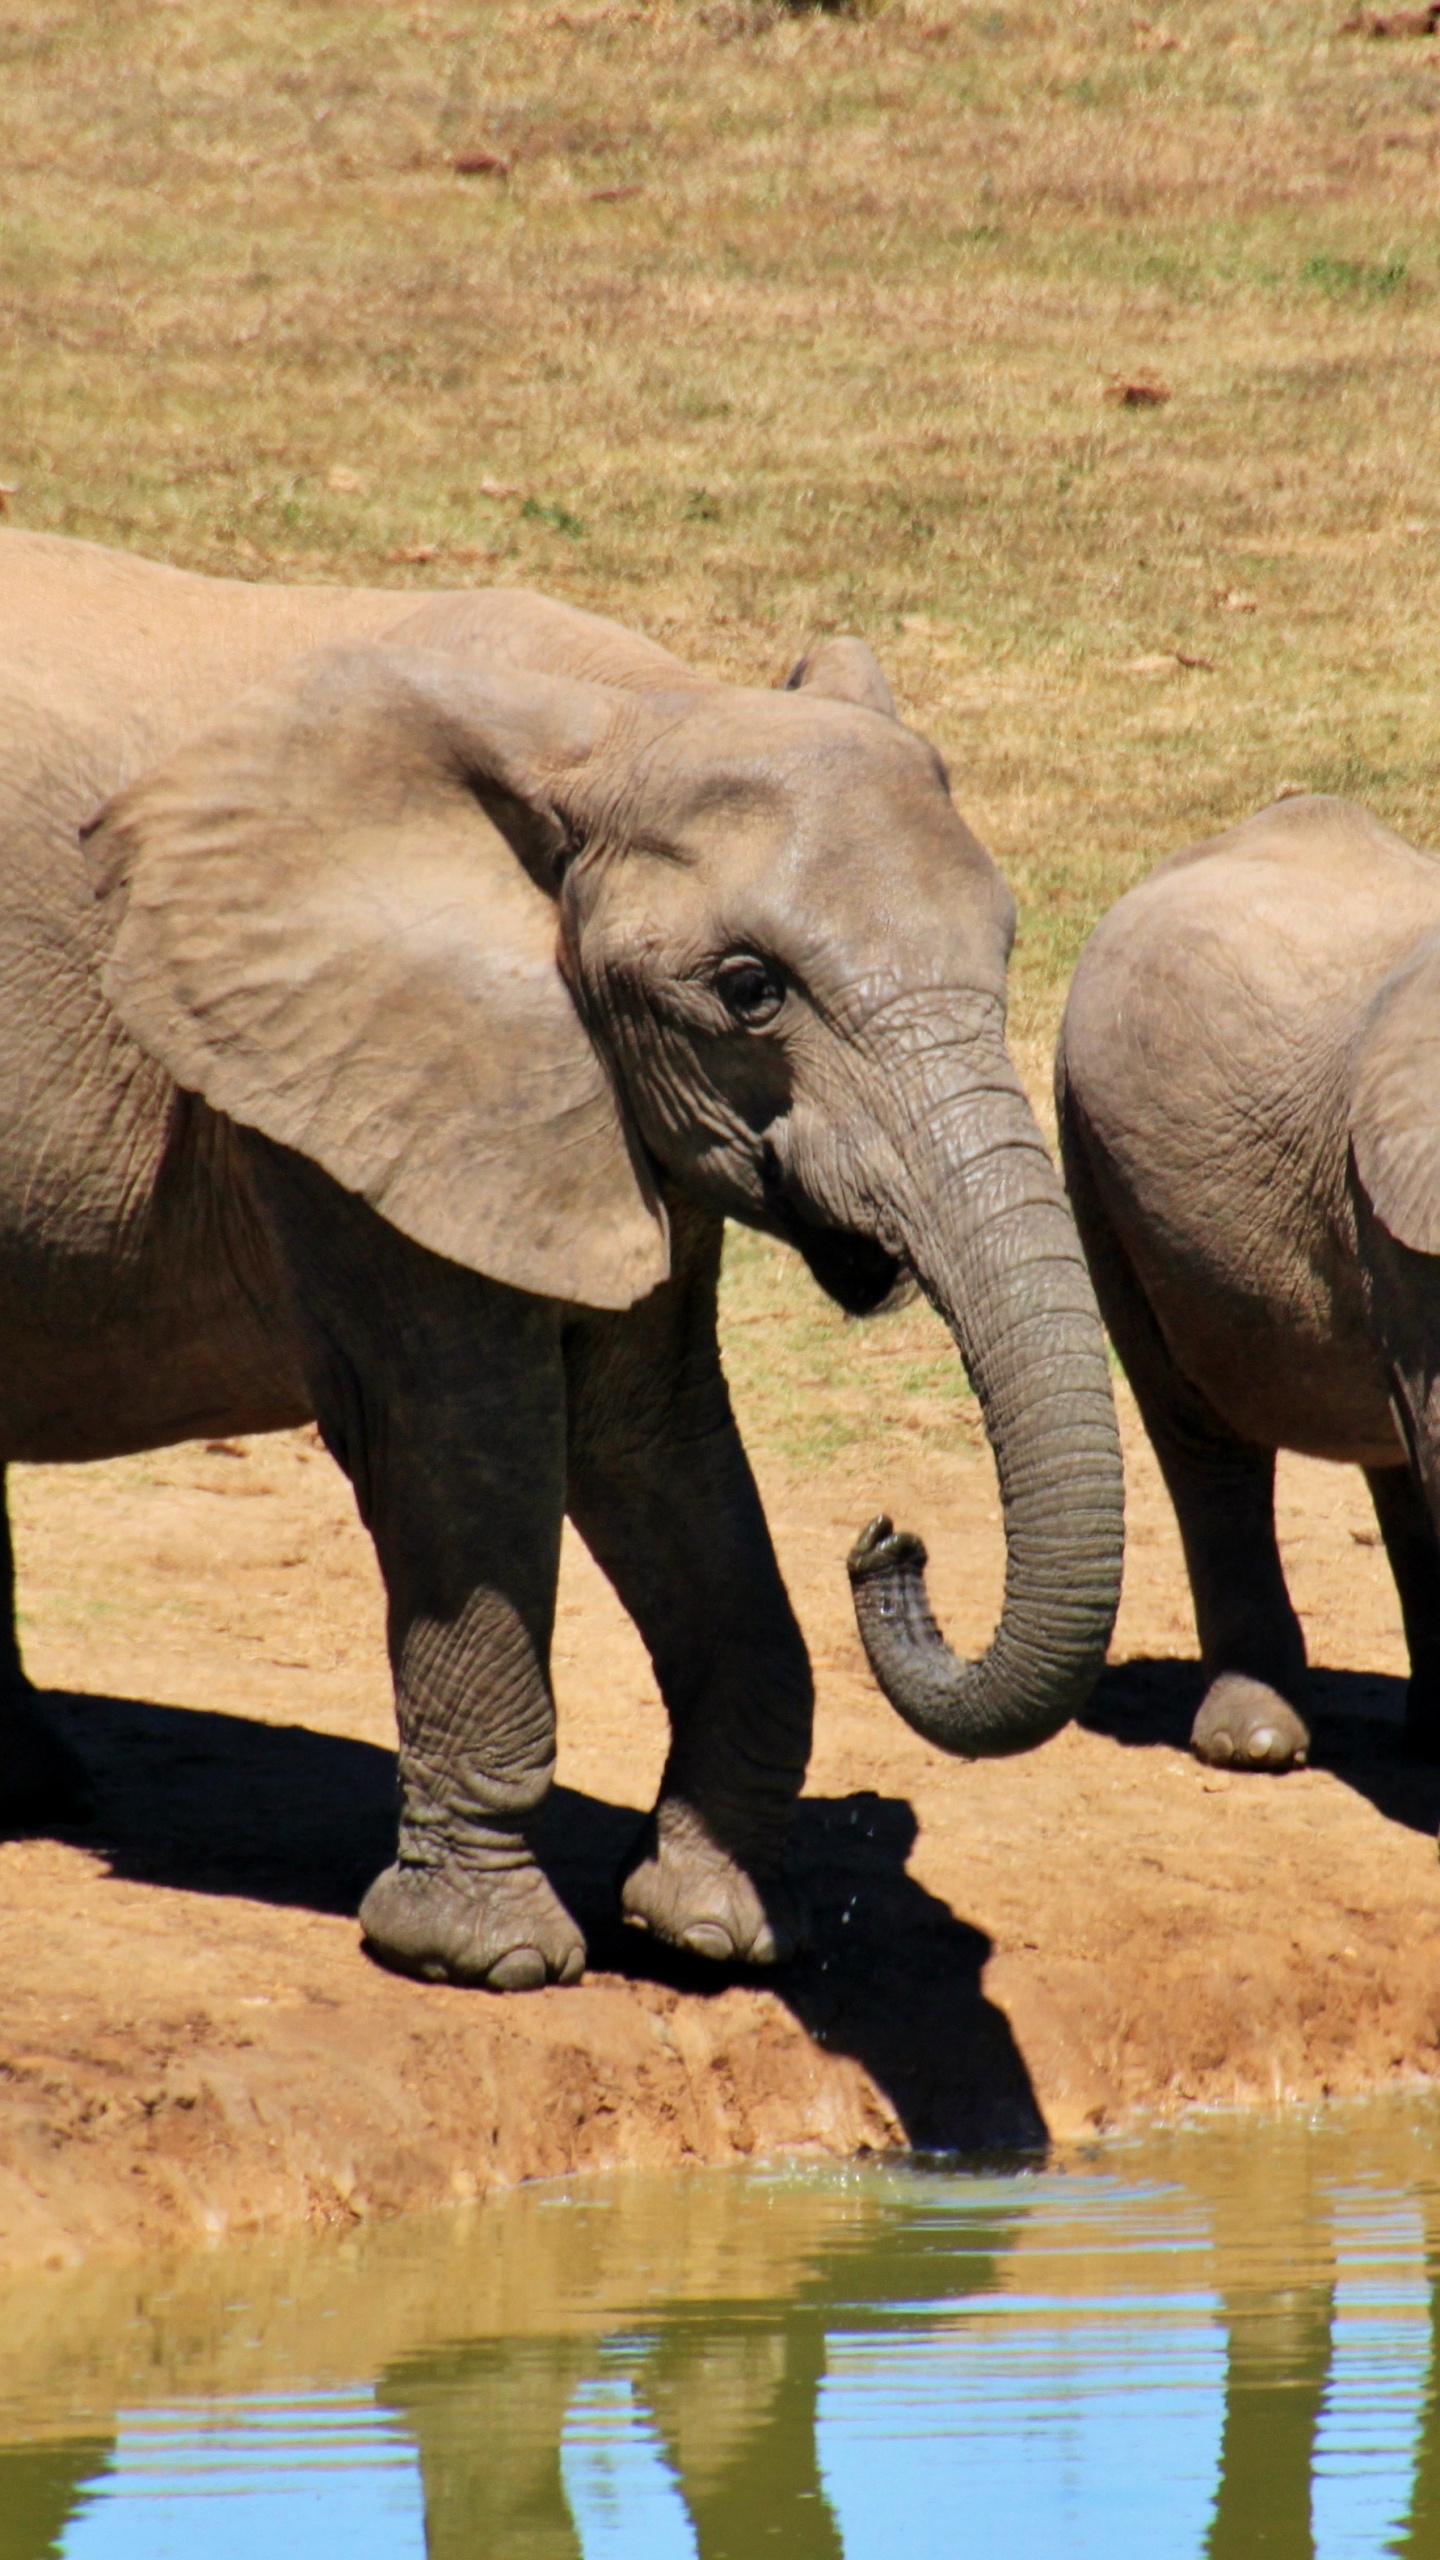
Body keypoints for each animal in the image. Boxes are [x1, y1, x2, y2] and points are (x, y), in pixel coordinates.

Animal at [0, 527, 1123, 1989]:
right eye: (748, 990)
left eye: (1005, 946)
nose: (889, 1538)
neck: (618, 716)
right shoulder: (339, 1084)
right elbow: (469, 1435)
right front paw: (487, 1960)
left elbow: (649, 1429)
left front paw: (716, 1928)